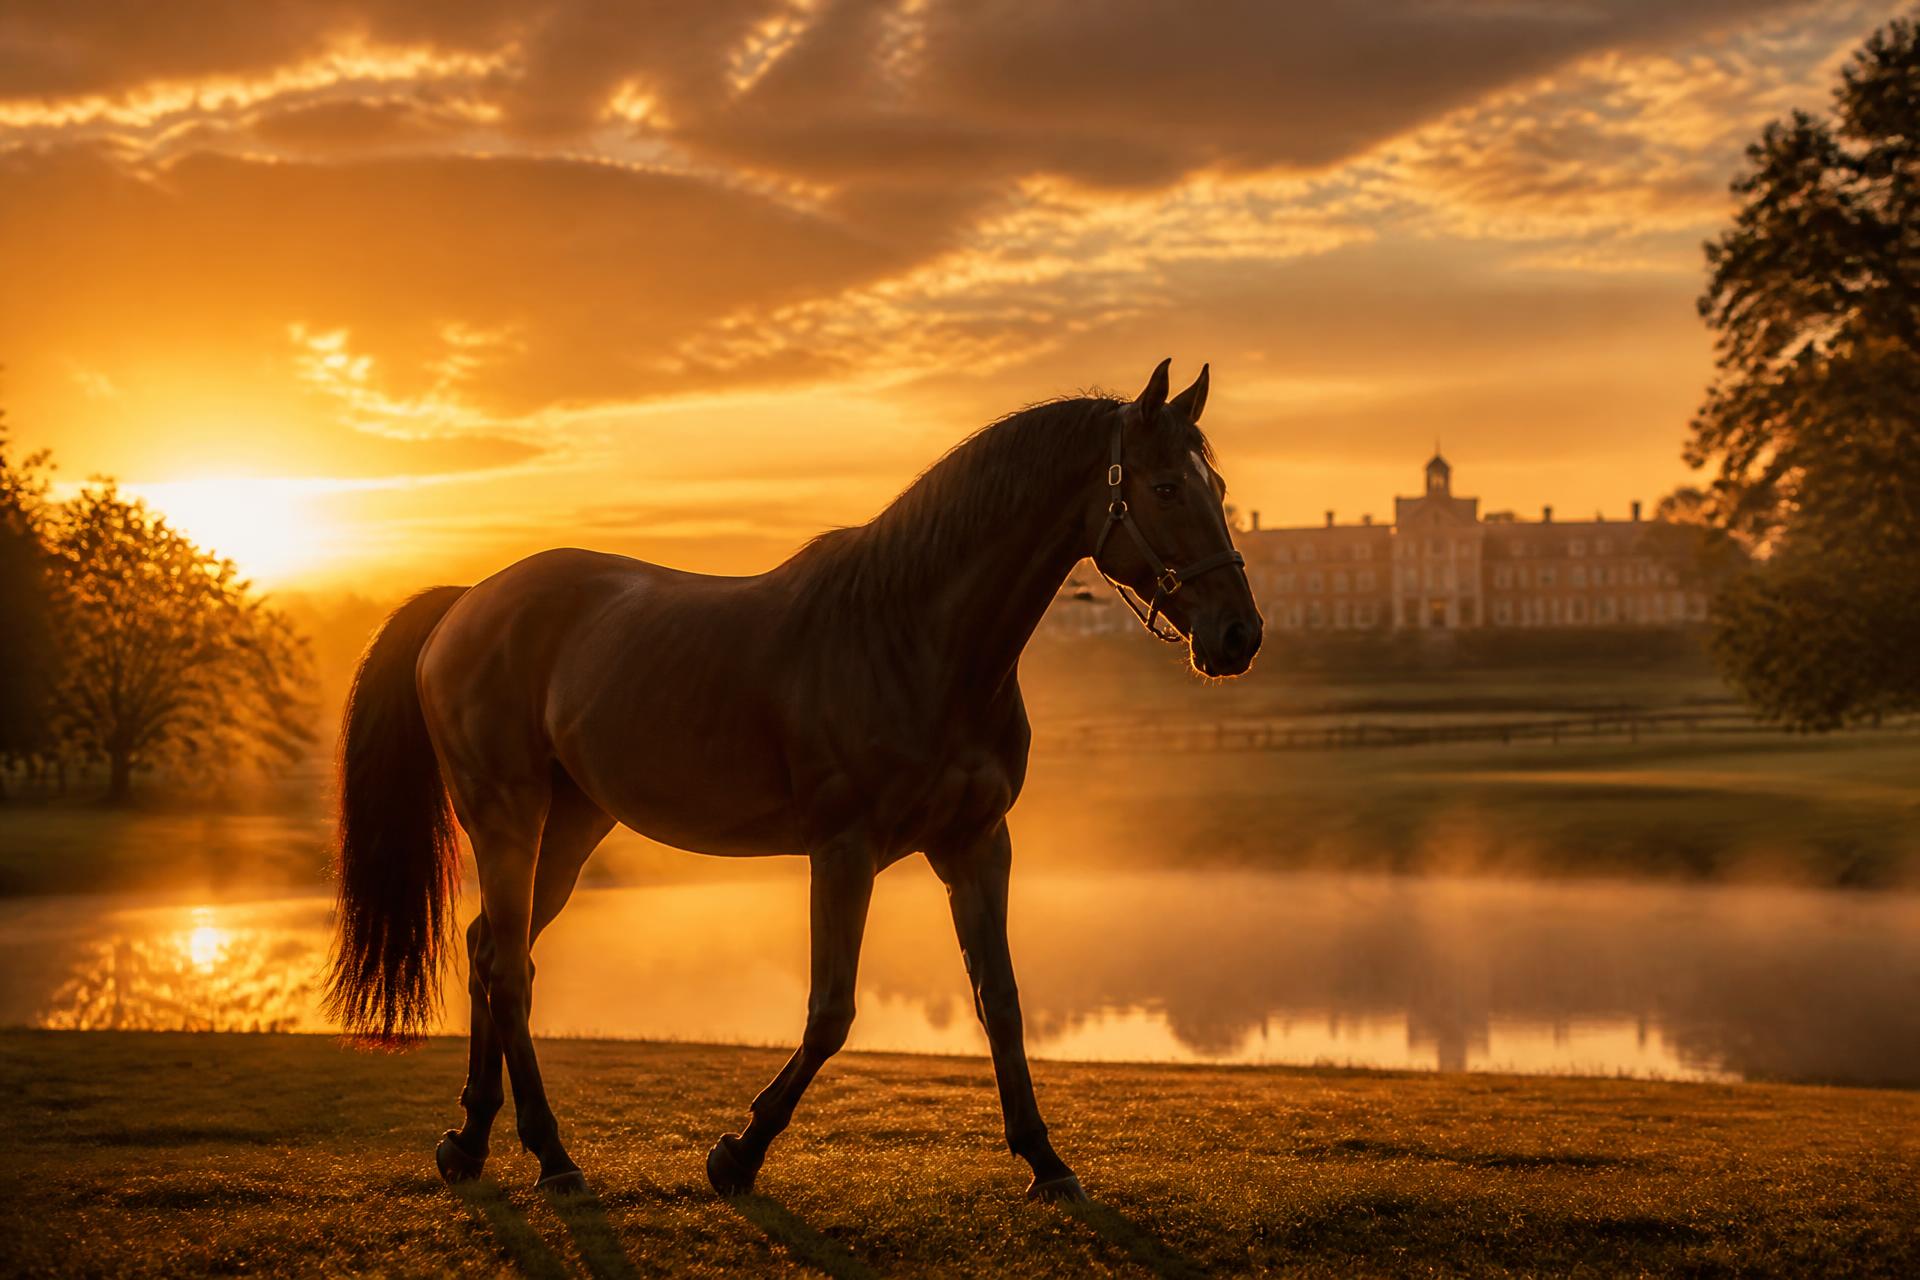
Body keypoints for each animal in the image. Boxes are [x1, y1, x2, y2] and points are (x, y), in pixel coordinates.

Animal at [326, 358, 1263, 1203]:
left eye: (1217, 485)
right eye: (1167, 487)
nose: (1239, 634)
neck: (913, 637)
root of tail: (466, 603)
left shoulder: (976, 846)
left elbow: (999, 998)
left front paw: (1046, 1160)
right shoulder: (844, 853)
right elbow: (831, 1010)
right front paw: (737, 1155)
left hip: (575, 824)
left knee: (495, 948)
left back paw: (472, 1142)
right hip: (507, 818)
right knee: (509, 966)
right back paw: (552, 1156)